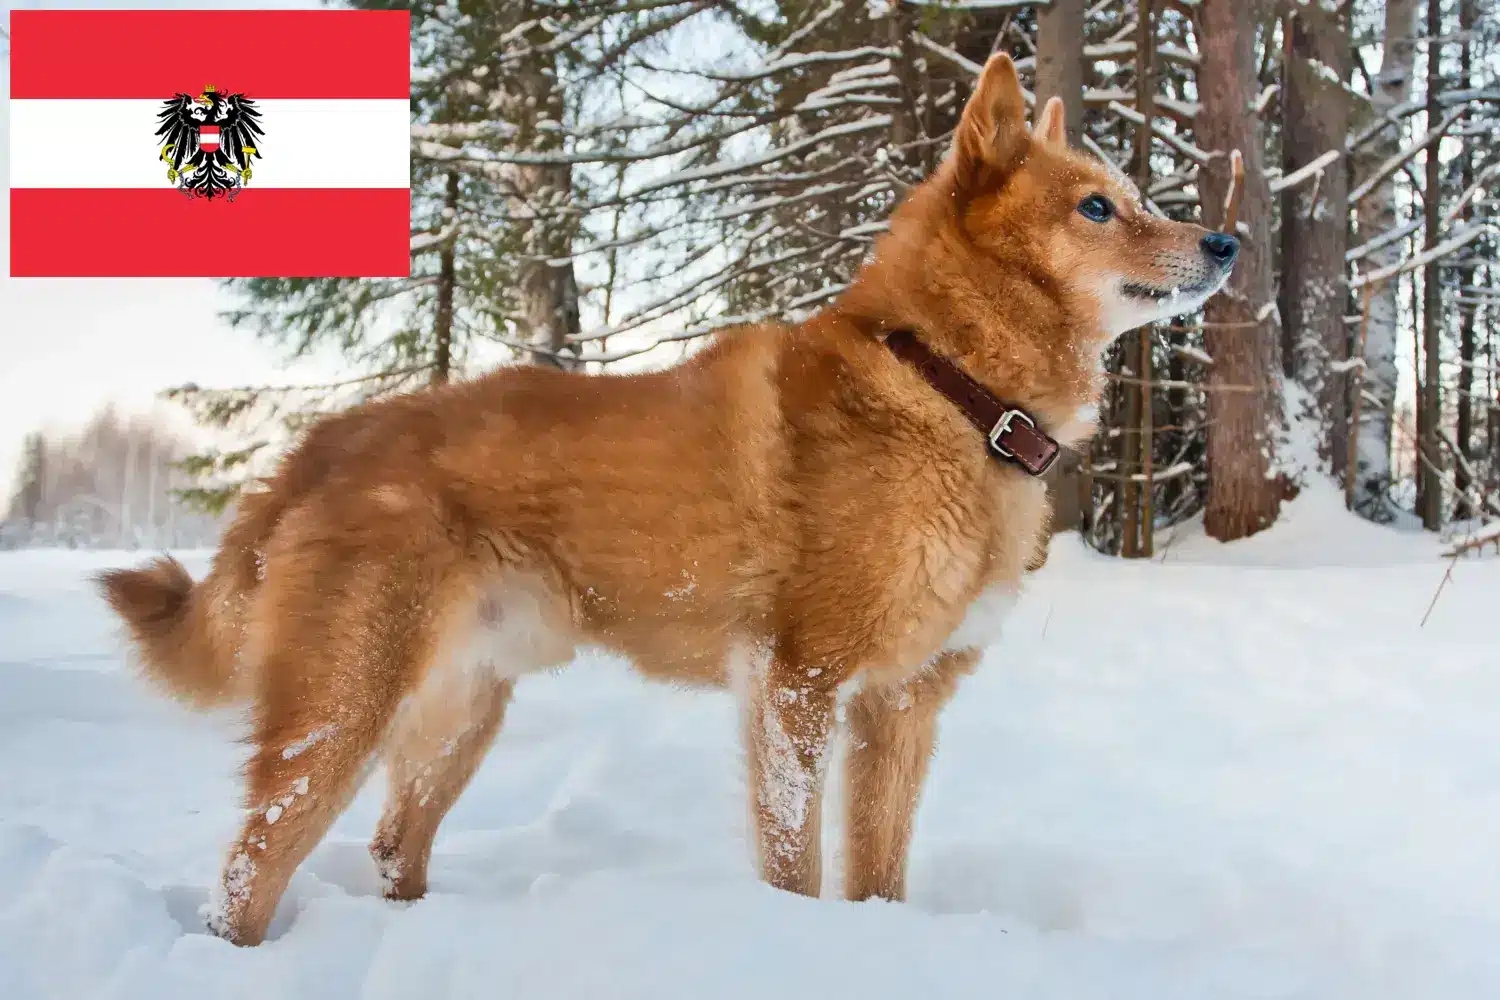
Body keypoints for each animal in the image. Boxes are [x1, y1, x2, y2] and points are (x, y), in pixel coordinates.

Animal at [99, 54, 1236, 947]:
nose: (1226, 243)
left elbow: (880, 876)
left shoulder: (902, 705)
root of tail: (320, 444)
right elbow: (797, 869)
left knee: (389, 849)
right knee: (246, 874)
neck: (949, 388)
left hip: (463, 713)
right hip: (341, 711)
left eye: (1133, 194)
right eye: (1098, 206)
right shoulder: (796, 685)